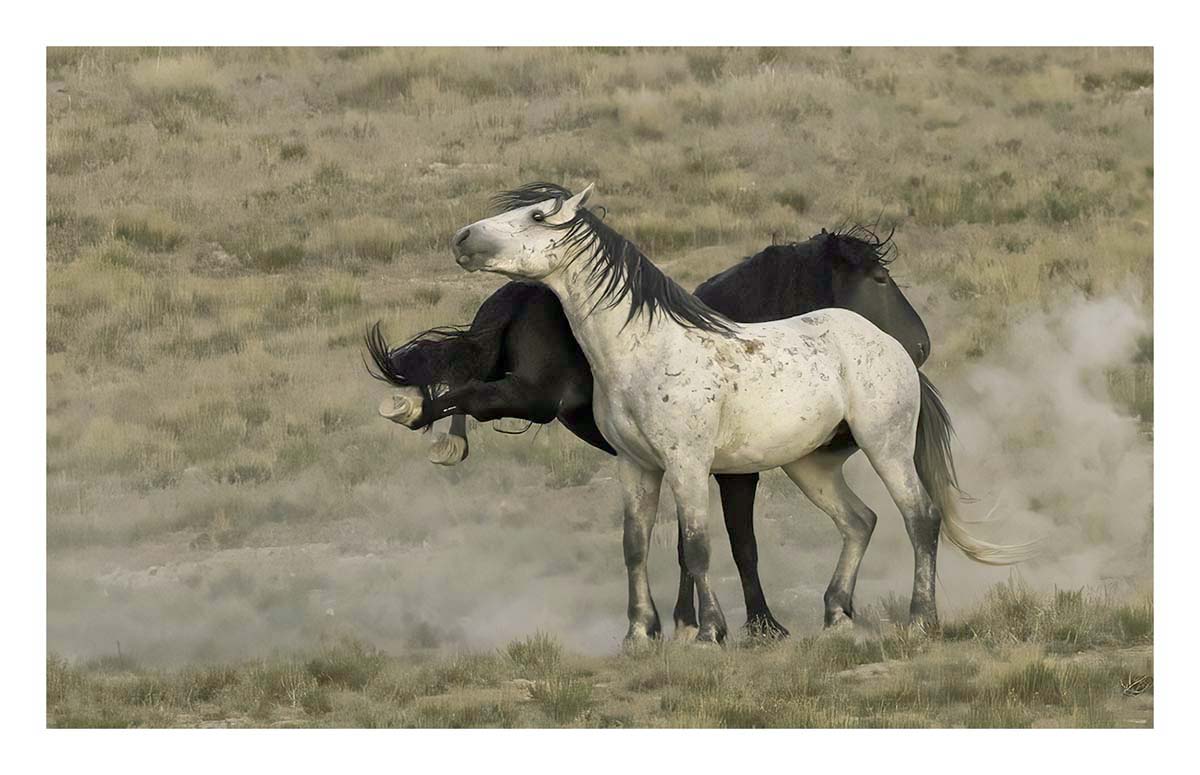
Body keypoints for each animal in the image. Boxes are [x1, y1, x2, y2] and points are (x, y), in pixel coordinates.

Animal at [367, 225, 930, 639]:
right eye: (880, 278)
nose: (920, 346)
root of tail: (519, 292)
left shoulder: (687, 466)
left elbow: (684, 547)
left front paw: (682, 624)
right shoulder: (733, 475)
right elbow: (739, 545)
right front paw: (759, 625)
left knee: (461, 376)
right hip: (532, 397)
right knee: (466, 391)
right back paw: (413, 413)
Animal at [438, 182, 1036, 645]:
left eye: (538, 217)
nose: (463, 239)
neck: (645, 348)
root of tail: (888, 347)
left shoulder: (690, 466)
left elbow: (701, 548)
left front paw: (709, 632)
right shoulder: (636, 467)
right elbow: (635, 547)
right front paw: (638, 635)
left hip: (885, 447)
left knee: (921, 517)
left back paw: (920, 620)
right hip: (809, 466)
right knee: (860, 520)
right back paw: (836, 615)